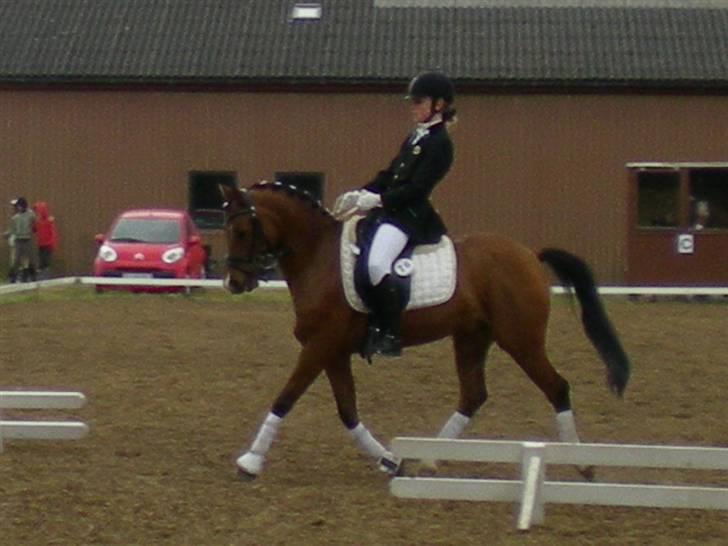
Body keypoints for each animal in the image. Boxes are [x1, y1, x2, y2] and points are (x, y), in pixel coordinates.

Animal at [220, 181, 630, 479]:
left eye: (241, 230)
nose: (234, 283)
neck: (317, 256)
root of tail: (529, 253)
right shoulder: (333, 351)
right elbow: (348, 411)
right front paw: (389, 459)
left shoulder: (320, 346)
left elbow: (286, 397)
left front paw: (250, 461)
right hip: (471, 337)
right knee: (474, 395)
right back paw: (430, 461)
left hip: (520, 339)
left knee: (556, 387)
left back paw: (581, 463)